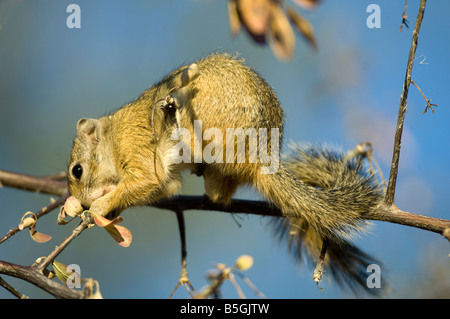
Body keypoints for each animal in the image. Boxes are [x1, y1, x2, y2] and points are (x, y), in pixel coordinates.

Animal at [68, 52, 384, 296]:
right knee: (220, 195)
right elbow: (166, 188)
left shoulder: (138, 151)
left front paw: (101, 206)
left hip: (203, 112)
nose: (81, 203)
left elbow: (147, 181)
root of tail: (259, 154)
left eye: (77, 170)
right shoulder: (166, 182)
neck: (113, 136)